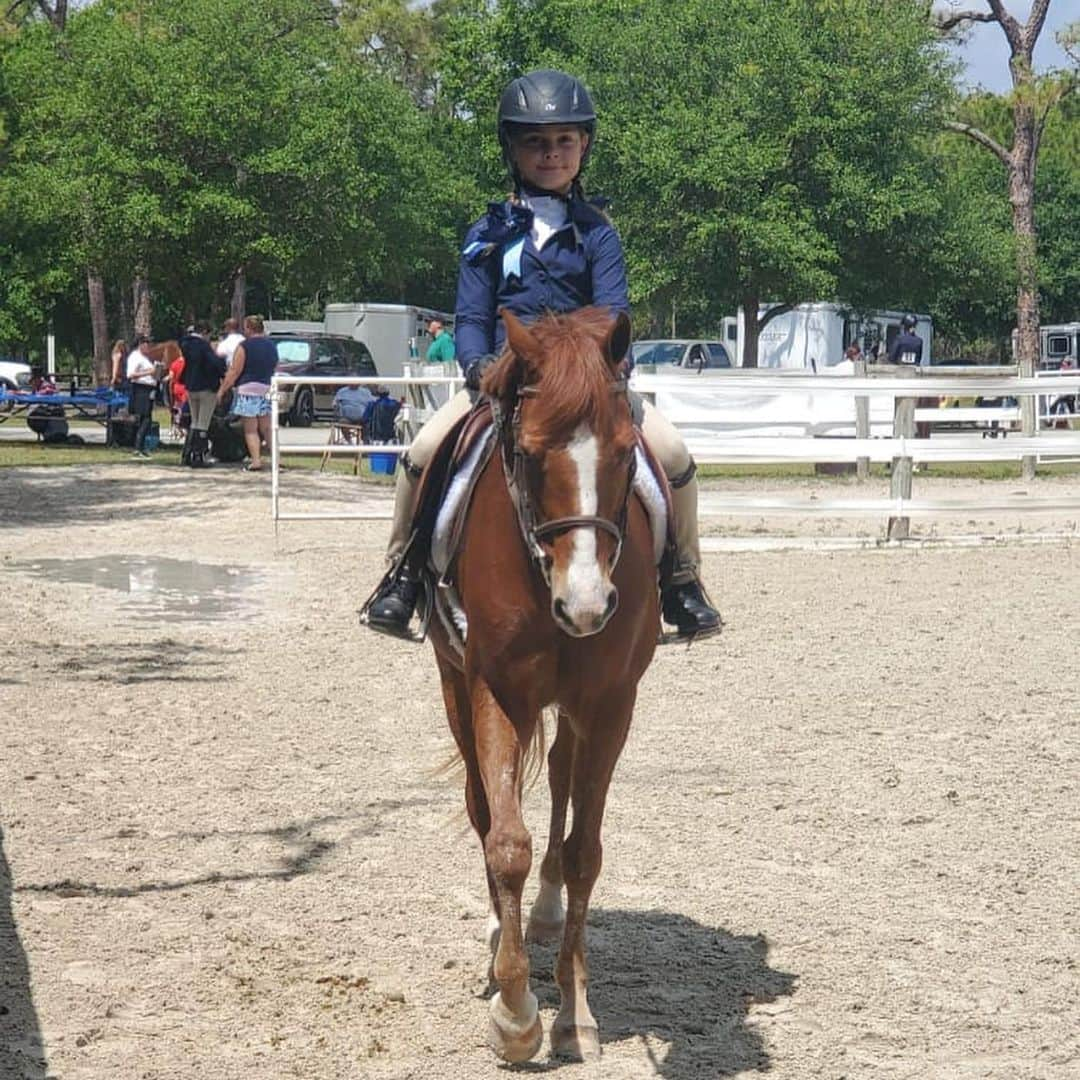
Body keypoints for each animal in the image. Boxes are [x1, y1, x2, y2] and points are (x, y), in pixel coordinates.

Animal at [429, 311, 656, 1062]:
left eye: (626, 452)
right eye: (528, 455)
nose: (586, 605)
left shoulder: (611, 704)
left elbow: (585, 851)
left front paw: (572, 1011)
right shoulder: (494, 692)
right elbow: (506, 842)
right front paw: (516, 1011)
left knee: (559, 778)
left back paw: (549, 909)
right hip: (455, 686)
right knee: (482, 805)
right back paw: (506, 931)